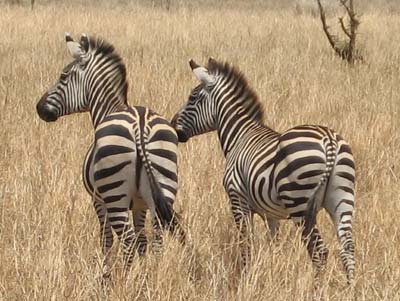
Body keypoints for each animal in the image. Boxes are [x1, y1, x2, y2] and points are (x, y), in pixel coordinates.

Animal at [36, 33, 184, 276]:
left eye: (63, 76)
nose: (39, 108)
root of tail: (140, 125)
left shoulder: (98, 200)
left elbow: (106, 239)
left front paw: (105, 273)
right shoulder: (140, 203)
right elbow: (143, 240)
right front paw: (143, 272)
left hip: (114, 193)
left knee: (127, 239)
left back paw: (123, 278)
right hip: (164, 183)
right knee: (156, 238)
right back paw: (151, 276)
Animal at [172, 58, 356, 282]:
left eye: (192, 98)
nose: (172, 125)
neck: (239, 135)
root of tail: (329, 140)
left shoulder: (238, 200)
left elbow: (245, 244)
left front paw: (245, 276)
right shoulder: (271, 214)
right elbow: (273, 244)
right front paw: (273, 271)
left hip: (299, 204)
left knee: (319, 251)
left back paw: (317, 286)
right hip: (342, 198)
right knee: (347, 248)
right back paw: (351, 285)